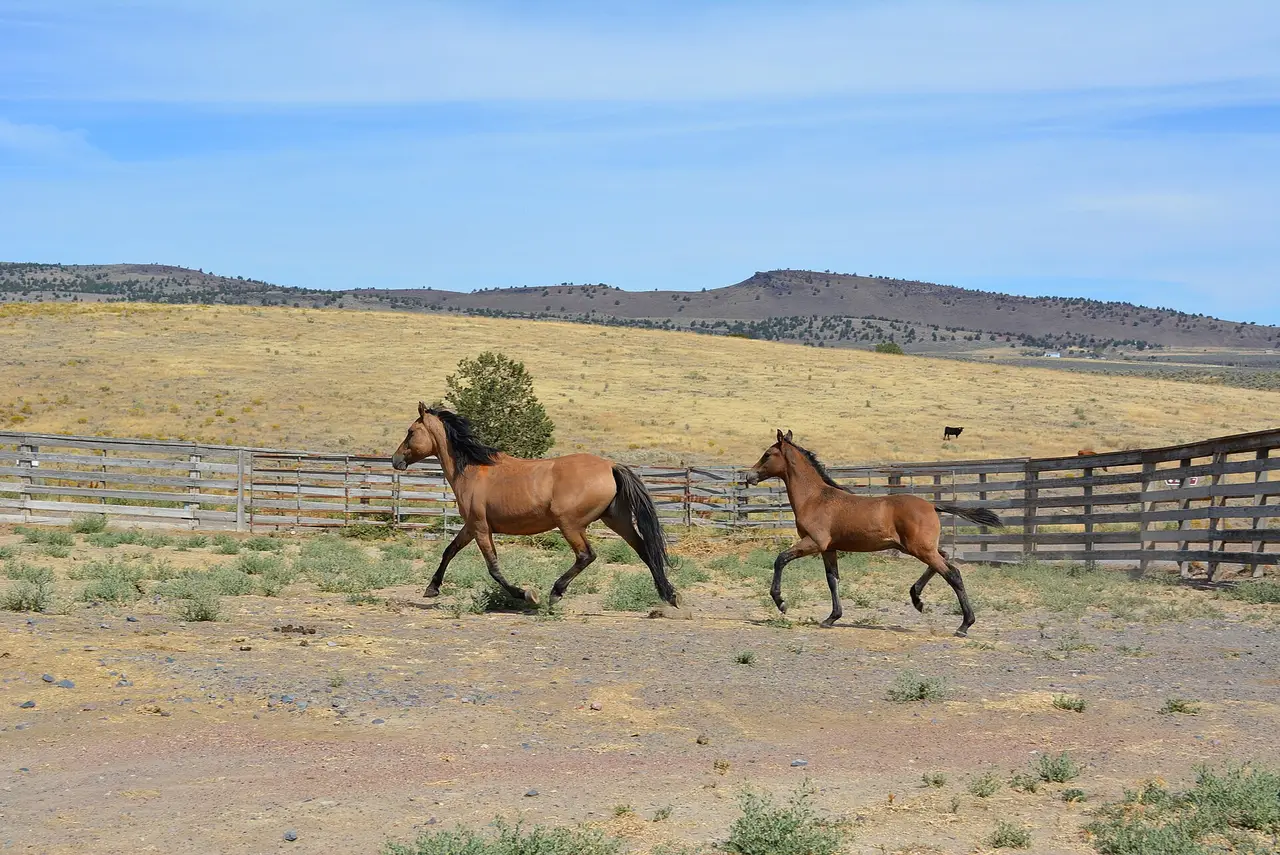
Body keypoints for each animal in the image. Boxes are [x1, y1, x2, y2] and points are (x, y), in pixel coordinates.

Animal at [391, 403, 678, 608]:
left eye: (411, 432)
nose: (395, 460)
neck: (472, 470)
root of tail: (610, 465)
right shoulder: (471, 527)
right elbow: (449, 551)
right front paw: (432, 589)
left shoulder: (481, 528)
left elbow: (493, 568)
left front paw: (526, 594)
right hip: (616, 519)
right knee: (644, 550)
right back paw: (670, 595)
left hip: (570, 524)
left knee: (586, 555)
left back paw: (555, 593)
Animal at [745, 430, 1004, 636]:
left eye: (767, 454)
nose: (749, 476)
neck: (815, 498)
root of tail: (932, 505)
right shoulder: (829, 549)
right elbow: (832, 580)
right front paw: (831, 618)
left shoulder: (814, 543)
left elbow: (780, 560)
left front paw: (781, 602)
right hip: (920, 547)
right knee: (945, 558)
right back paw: (917, 598)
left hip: (920, 548)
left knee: (953, 574)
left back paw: (964, 625)